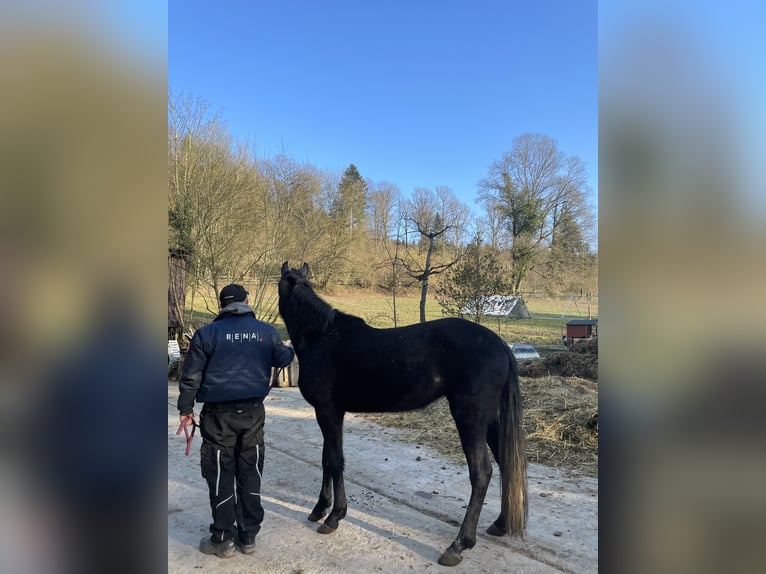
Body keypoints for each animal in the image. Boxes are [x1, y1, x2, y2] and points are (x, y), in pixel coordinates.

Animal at [278, 264, 528, 568]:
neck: (322, 337)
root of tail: (500, 345)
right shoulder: (327, 413)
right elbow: (327, 459)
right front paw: (319, 509)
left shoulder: (327, 411)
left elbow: (335, 461)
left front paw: (334, 516)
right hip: (492, 420)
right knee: (506, 464)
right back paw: (500, 524)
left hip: (471, 418)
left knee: (482, 473)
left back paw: (458, 545)